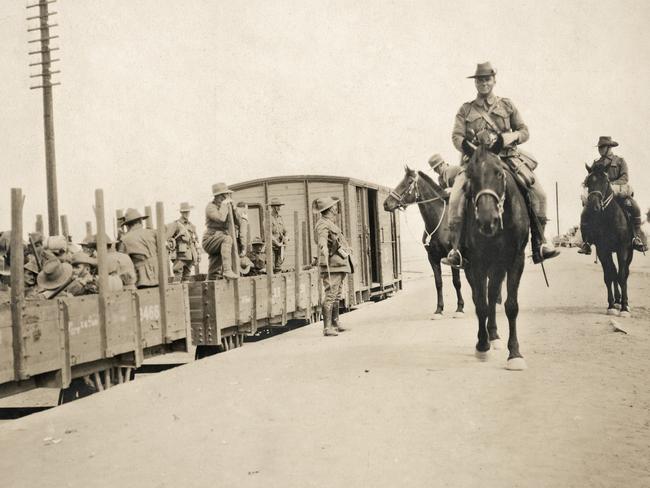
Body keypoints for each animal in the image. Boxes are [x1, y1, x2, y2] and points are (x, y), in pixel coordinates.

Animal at [382, 168, 464, 318]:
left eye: (409, 182)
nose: (386, 204)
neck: (440, 222)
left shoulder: (453, 257)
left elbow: (456, 282)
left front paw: (460, 308)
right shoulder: (432, 257)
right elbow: (438, 283)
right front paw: (439, 309)